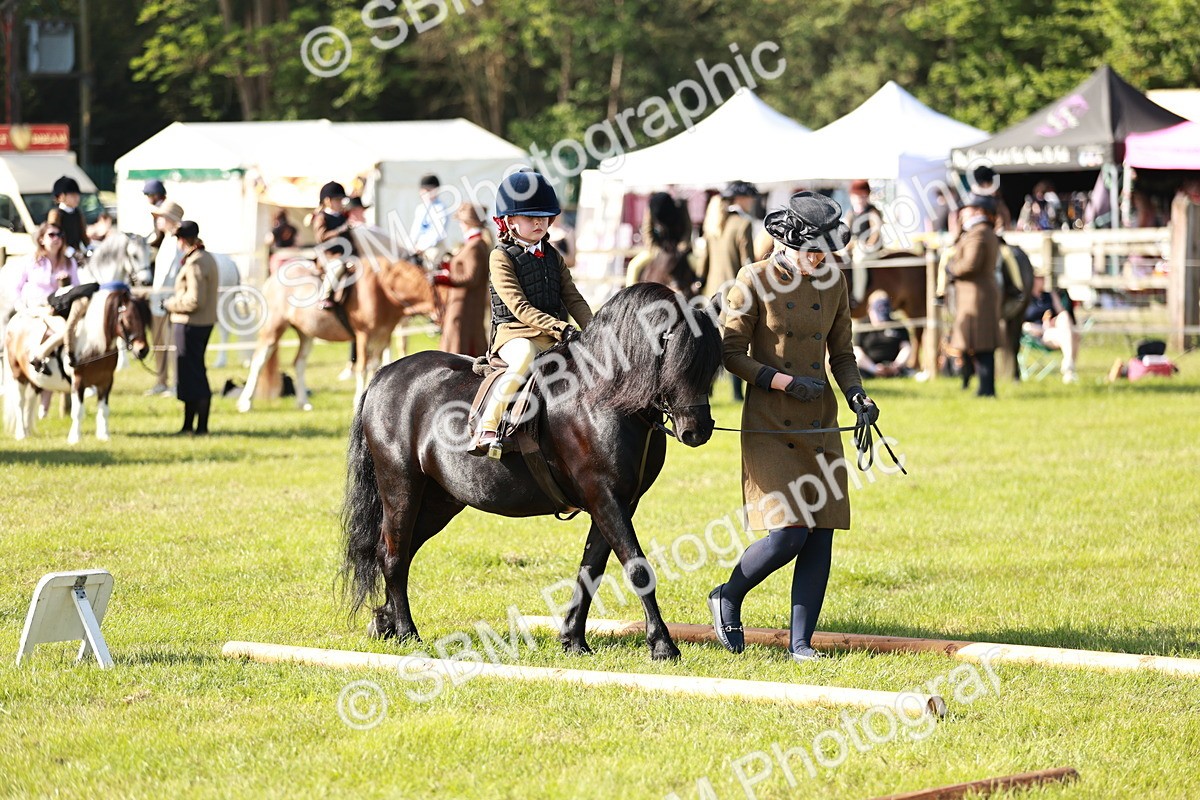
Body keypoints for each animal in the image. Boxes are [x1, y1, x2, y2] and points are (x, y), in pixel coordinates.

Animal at [3, 232, 152, 443]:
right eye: (127, 319)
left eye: (145, 319)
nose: (143, 350)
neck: (95, 347)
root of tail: (16, 320)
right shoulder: (78, 382)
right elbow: (77, 411)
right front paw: (74, 438)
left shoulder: (106, 381)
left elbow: (104, 409)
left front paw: (104, 435)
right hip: (18, 375)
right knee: (20, 402)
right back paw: (21, 433)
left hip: (32, 378)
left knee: (30, 401)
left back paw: (28, 430)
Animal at [237, 226, 438, 412]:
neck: (380, 286)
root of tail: (274, 277)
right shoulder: (363, 336)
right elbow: (362, 368)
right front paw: (357, 401)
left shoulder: (382, 336)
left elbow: (375, 367)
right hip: (273, 328)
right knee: (259, 361)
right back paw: (246, 403)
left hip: (306, 333)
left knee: (299, 363)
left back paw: (303, 403)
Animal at [342, 283, 723, 661]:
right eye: (679, 361)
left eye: (711, 364)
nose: (698, 431)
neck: (603, 397)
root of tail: (385, 375)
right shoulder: (605, 498)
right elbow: (637, 567)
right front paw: (662, 645)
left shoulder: (619, 503)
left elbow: (591, 568)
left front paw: (573, 640)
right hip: (401, 487)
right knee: (393, 554)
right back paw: (407, 632)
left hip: (440, 501)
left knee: (395, 550)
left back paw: (385, 623)